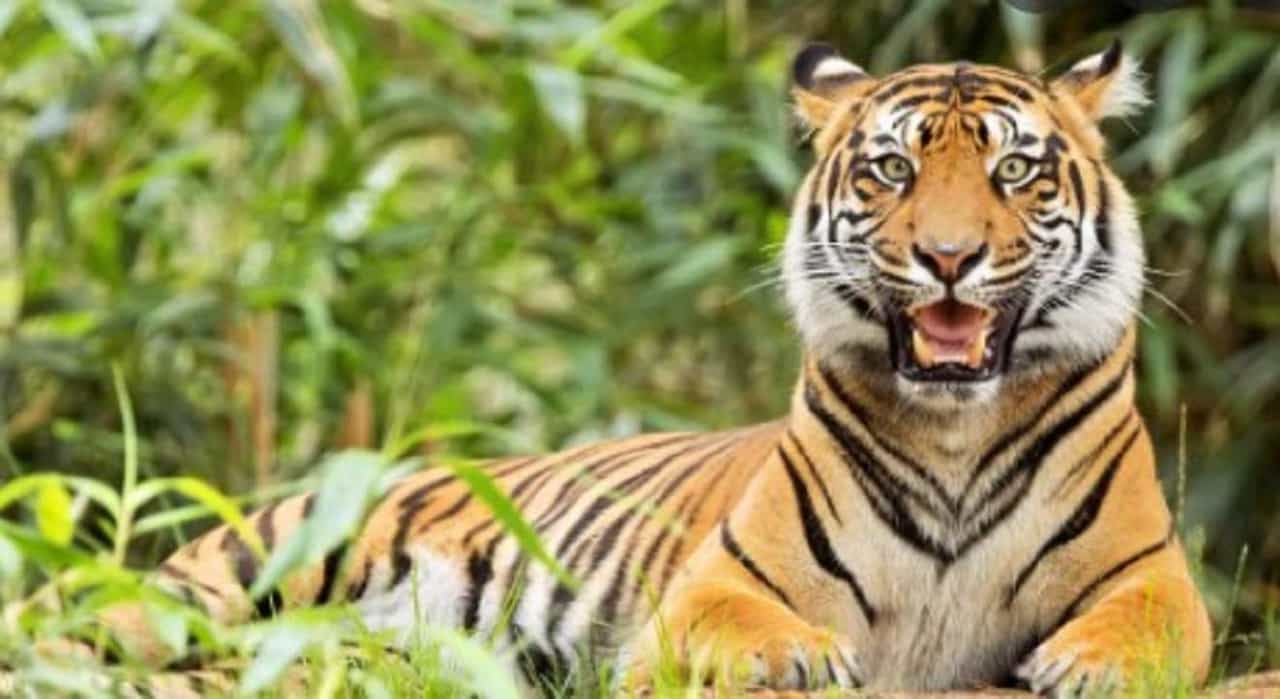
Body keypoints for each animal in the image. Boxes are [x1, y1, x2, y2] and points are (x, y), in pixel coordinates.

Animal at [82, 40, 1211, 697]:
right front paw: (796, 655)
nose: (946, 256)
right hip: (244, 566)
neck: (953, 430)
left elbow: (1151, 628)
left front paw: (1082, 666)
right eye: (891, 169)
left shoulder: (1153, 569)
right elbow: (742, 622)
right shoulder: (717, 578)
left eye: (1013, 170)